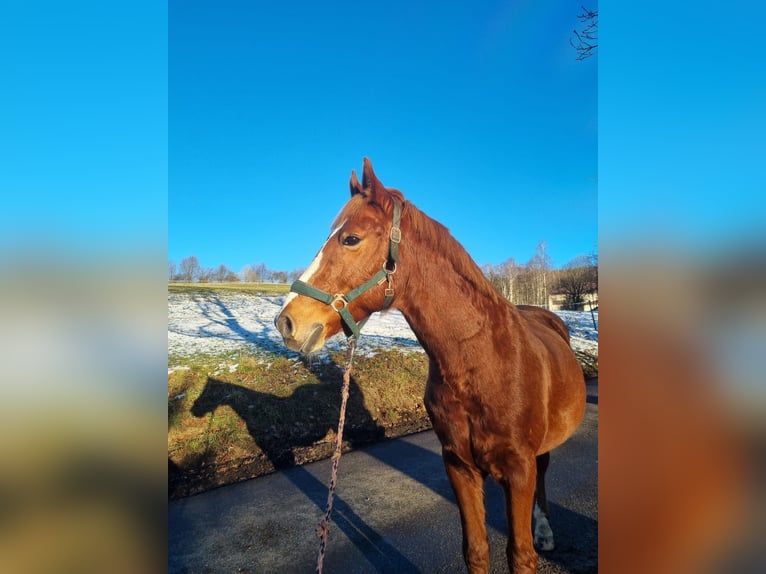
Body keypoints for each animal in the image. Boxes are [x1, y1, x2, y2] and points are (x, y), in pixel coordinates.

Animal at [276, 159, 588, 574]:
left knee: (544, 472)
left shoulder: (519, 470)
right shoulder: (458, 466)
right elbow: (476, 550)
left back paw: (545, 531)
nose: (286, 323)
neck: (479, 362)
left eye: (351, 239)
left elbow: (521, 555)